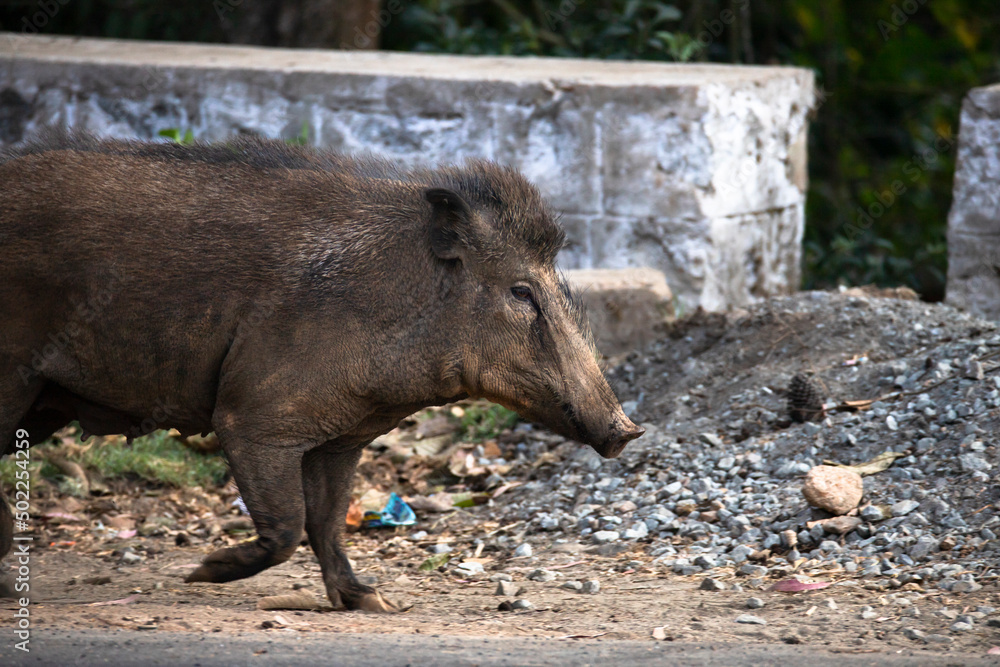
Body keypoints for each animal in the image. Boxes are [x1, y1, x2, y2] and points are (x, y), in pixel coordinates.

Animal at [0, 132, 643, 610]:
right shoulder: (253, 419)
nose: (628, 430)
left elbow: (327, 523)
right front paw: (201, 573)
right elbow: (288, 524)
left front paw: (375, 603)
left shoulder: (340, 437)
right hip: (16, 378)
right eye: (520, 291)